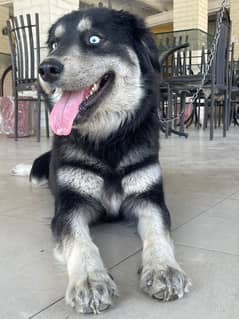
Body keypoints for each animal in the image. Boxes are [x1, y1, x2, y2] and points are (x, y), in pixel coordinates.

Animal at [29, 6, 190, 316]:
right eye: (54, 44)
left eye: (94, 39)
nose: (45, 69)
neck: (108, 141)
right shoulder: (69, 207)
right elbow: (82, 243)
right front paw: (91, 281)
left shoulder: (149, 200)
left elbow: (159, 233)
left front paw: (163, 269)